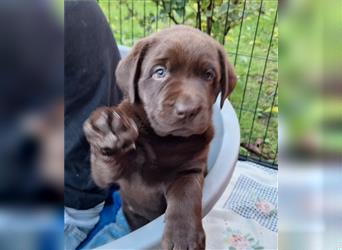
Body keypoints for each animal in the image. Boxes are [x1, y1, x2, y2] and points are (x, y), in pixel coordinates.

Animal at [84, 25, 236, 250]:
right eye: (160, 72)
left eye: (209, 75)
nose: (187, 109)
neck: (165, 141)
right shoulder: (113, 175)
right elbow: (105, 169)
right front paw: (108, 131)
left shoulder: (191, 169)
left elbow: (185, 194)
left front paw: (183, 237)